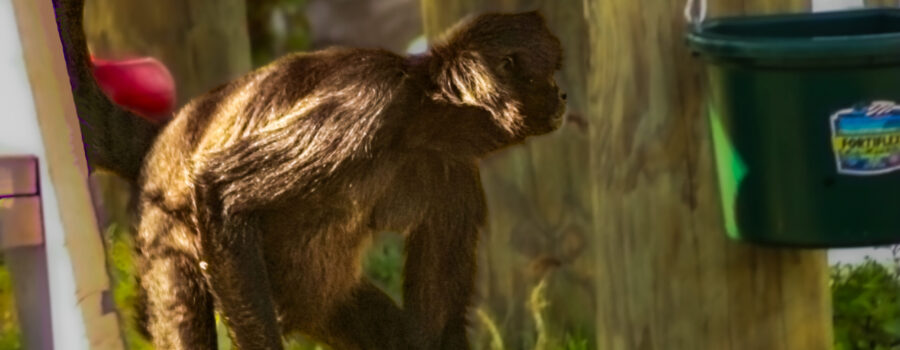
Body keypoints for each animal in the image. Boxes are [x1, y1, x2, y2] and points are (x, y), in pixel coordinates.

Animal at [54, 1, 564, 348]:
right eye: (552, 75)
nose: (562, 95)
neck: (424, 116)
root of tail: (170, 137)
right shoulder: (368, 105)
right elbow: (220, 190)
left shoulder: (455, 173)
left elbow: (429, 335)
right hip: (171, 234)